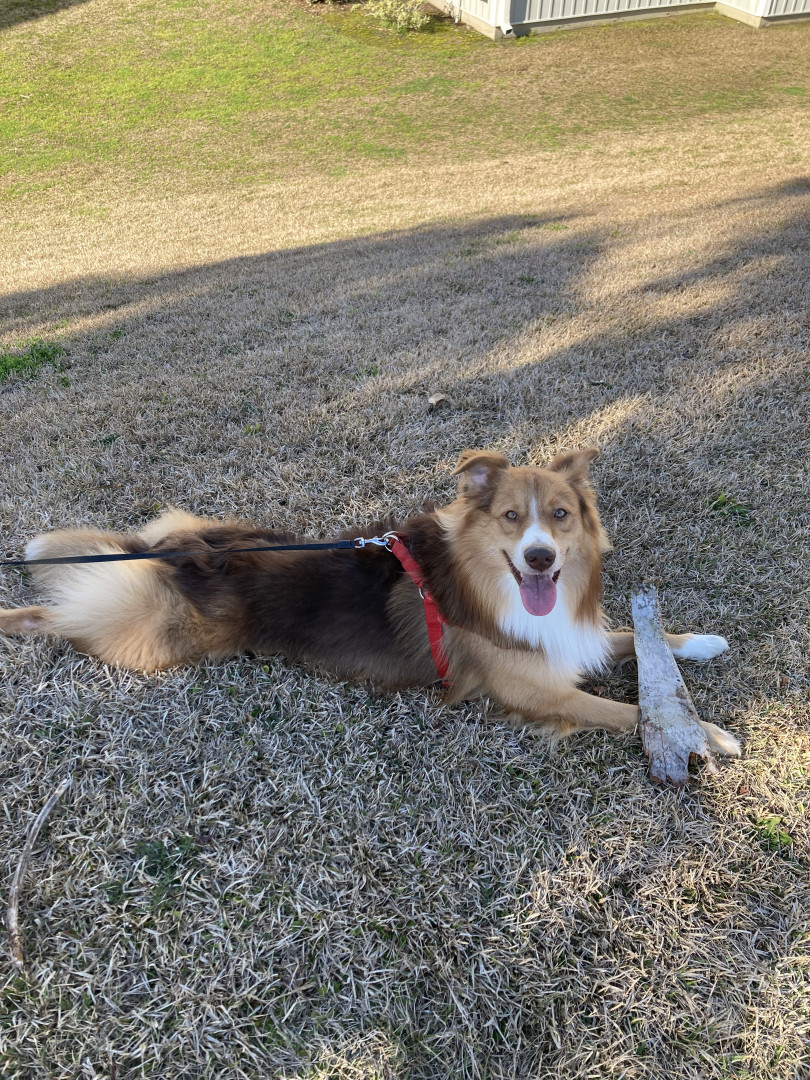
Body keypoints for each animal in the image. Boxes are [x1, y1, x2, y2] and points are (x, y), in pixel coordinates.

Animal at [0, 448, 740, 755]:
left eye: (559, 516)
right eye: (510, 517)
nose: (540, 559)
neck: (488, 582)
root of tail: (182, 551)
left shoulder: (564, 636)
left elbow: (636, 640)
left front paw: (701, 642)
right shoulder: (535, 689)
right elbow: (628, 711)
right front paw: (706, 735)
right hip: (149, 634)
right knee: (52, 616)